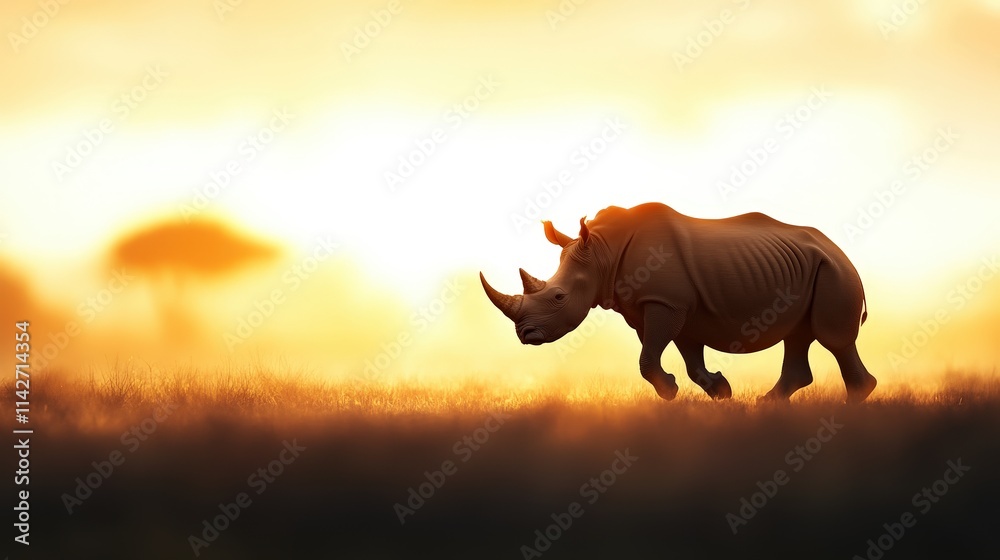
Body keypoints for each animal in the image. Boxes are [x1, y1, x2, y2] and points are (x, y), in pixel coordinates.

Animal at [480, 203, 877, 403]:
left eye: (559, 297)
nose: (526, 334)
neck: (602, 253)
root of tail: (837, 249)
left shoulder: (665, 302)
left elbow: (649, 357)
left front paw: (671, 392)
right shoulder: (661, 307)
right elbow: (685, 357)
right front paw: (720, 391)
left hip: (833, 271)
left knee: (832, 338)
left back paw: (853, 406)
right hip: (809, 267)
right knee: (798, 335)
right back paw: (768, 405)